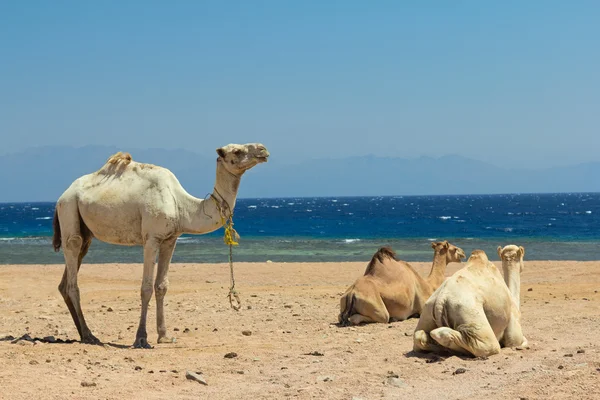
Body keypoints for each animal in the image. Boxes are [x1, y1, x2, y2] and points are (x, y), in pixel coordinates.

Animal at [52, 143, 268, 346]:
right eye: (237, 151)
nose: (263, 149)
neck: (181, 206)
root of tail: (61, 197)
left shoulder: (170, 240)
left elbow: (162, 286)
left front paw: (164, 336)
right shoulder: (151, 238)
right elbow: (146, 287)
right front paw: (141, 338)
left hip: (84, 231)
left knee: (67, 278)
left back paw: (83, 334)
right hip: (69, 210)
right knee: (73, 275)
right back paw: (89, 335)